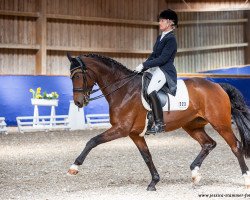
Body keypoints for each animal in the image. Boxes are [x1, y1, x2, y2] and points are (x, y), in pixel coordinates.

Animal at [66, 53, 250, 191]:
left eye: (78, 75)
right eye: (71, 76)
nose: (78, 102)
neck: (124, 90)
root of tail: (217, 86)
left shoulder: (121, 129)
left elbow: (92, 141)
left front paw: (74, 167)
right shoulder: (135, 134)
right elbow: (146, 156)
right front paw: (154, 182)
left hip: (221, 124)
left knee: (235, 146)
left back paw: (245, 179)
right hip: (192, 125)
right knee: (208, 144)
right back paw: (195, 174)